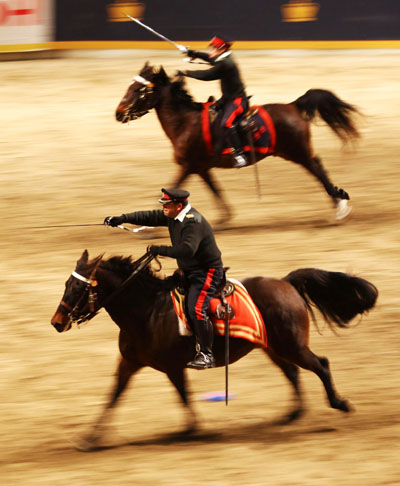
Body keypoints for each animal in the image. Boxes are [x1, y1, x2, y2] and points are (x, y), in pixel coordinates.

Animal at [51, 251, 376, 452]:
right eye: (65, 284)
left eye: (77, 289)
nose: (56, 322)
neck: (148, 310)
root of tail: (286, 283)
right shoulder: (129, 364)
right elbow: (113, 397)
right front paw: (89, 439)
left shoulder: (172, 367)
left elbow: (183, 396)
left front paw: (190, 430)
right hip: (274, 348)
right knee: (293, 373)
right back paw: (292, 414)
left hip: (292, 346)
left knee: (320, 364)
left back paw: (339, 404)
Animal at [115, 63, 360, 224]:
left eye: (138, 90)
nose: (118, 113)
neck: (184, 122)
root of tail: (294, 105)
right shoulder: (201, 168)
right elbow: (216, 190)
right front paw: (225, 216)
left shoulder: (187, 166)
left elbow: (172, 188)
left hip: (297, 152)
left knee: (318, 168)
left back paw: (340, 205)